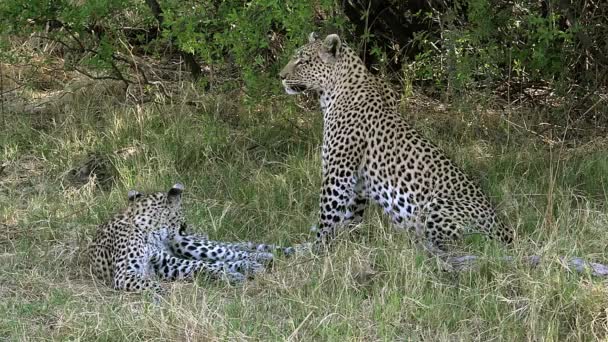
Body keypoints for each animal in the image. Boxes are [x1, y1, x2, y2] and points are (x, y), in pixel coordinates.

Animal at [88, 183, 294, 292]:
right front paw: (162, 296)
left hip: (186, 243)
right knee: (225, 258)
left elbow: (200, 264)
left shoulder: (163, 261)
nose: (185, 226)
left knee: (232, 251)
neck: (147, 231)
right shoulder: (128, 274)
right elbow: (152, 282)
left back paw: (262, 258)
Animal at [280, 33, 512, 250]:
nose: (280, 76)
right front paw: (345, 242)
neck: (332, 93)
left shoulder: (338, 173)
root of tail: (503, 230)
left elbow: (327, 216)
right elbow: (351, 216)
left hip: (434, 208)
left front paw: (316, 249)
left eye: (302, 61)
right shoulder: (358, 184)